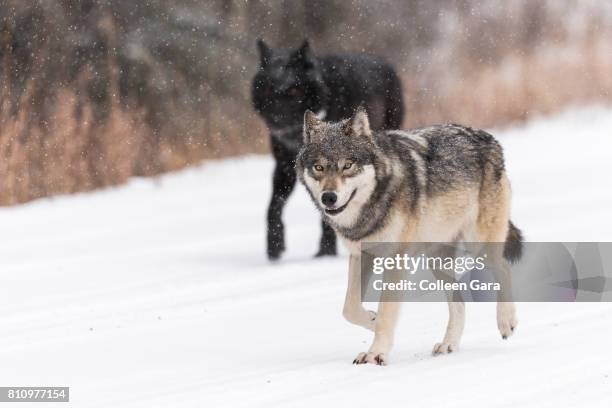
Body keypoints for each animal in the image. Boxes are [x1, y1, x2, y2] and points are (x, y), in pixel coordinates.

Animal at [251, 39, 404, 260]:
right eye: (269, 89)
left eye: (293, 91)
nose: (276, 119)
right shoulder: (284, 166)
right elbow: (273, 207)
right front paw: (274, 248)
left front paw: (325, 252)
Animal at [296, 107, 520, 364]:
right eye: (318, 168)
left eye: (348, 165)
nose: (329, 197)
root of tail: (488, 137)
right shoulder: (362, 255)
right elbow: (349, 308)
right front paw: (371, 320)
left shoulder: (395, 259)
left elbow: (386, 311)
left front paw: (375, 353)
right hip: (438, 260)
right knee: (459, 302)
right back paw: (449, 344)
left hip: (479, 243)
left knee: (504, 268)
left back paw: (506, 322)